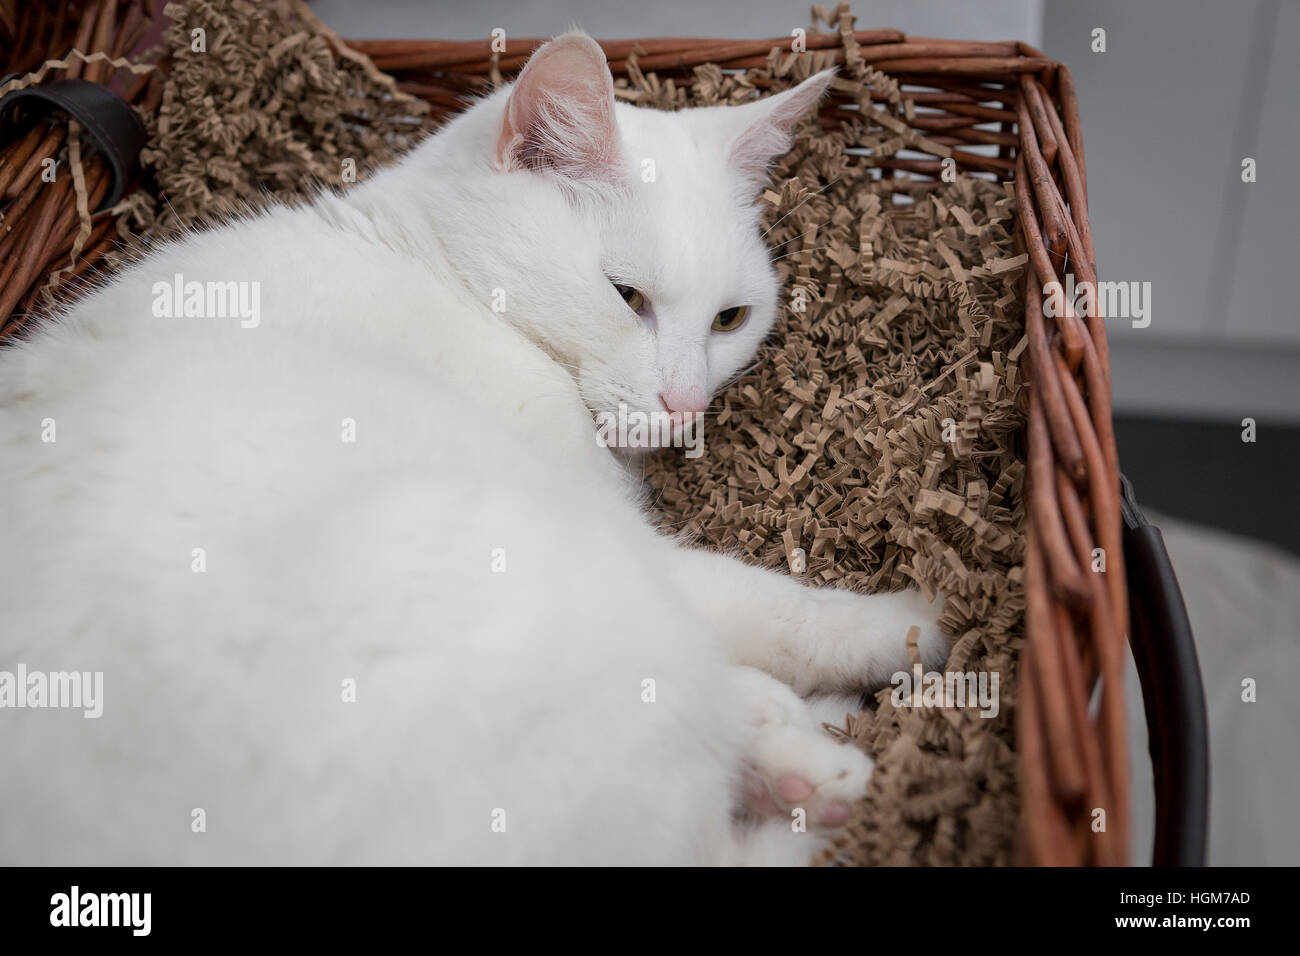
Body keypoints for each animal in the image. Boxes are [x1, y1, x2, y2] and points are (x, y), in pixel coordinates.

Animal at [0, 31, 946, 868]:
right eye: (626, 296)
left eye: (729, 319)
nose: (686, 407)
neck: (437, 270)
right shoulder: (626, 537)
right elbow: (791, 613)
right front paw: (927, 618)